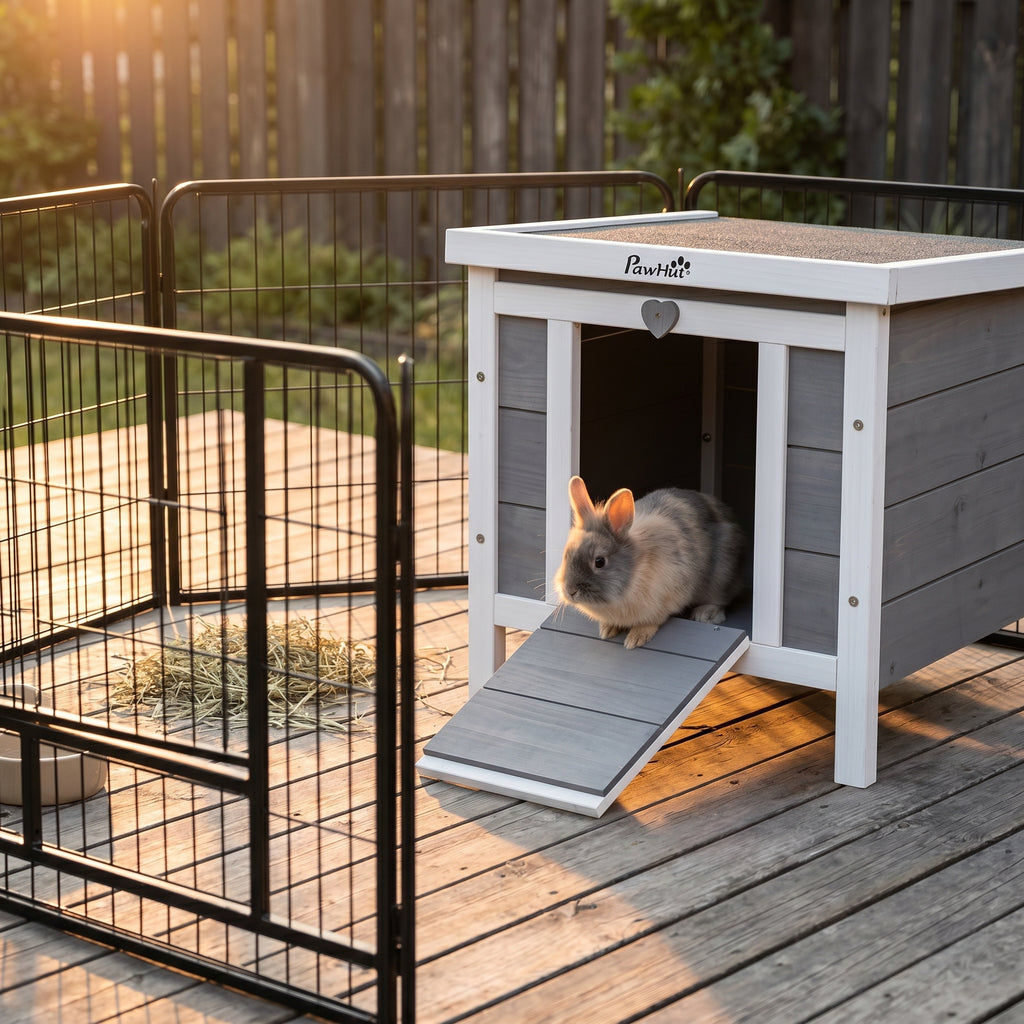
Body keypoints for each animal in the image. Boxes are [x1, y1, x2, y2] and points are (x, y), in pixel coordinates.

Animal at [553, 475, 745, 650]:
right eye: (567, 554)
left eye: (599, 562)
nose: (570, 591)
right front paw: (607, 630)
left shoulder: (667, 598)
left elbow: (653, 620)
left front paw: (636, 639)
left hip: (721, 575)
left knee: (721, 600)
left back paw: (703, 614)